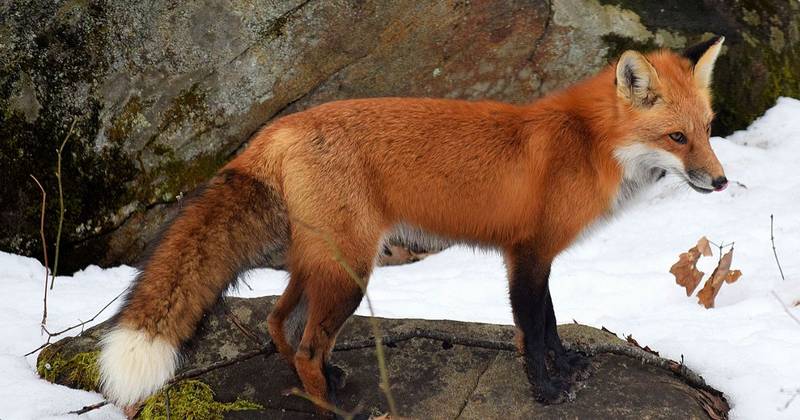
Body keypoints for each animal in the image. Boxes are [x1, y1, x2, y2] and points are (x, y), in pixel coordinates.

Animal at [98, 36, 728, 413]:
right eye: (677, 137)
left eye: (708, 128)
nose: (722, 182)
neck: (589, 145)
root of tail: (278, 128)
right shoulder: (525, 255)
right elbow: (532, 331)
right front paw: (546, 390)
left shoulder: (540, 257)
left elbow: (550, 322)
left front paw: (567, 366)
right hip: (352, 271)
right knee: (304, 346)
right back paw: (335, 408)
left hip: (322, 261)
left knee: (281, 323)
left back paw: (326, 382)